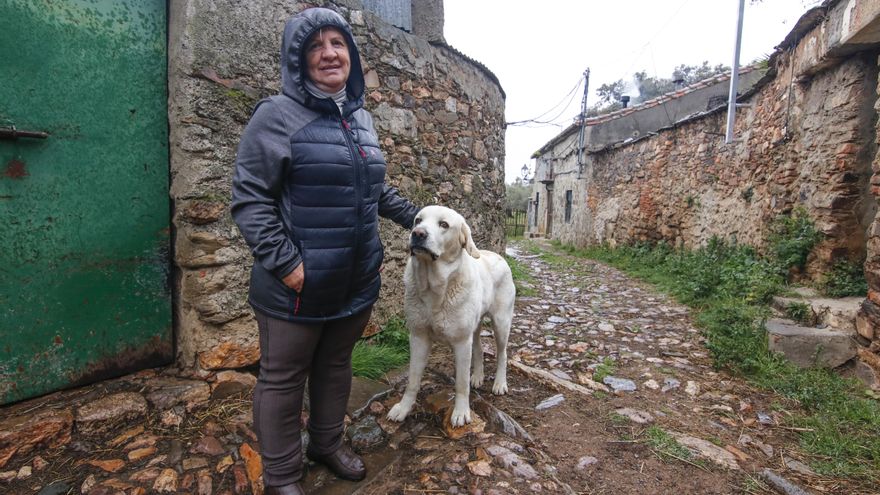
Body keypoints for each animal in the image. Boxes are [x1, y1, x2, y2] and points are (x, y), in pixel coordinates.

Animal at [384, 205, 516, 426]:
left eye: (444, 224)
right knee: (479, 348)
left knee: (502, 354)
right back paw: (478, 376)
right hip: (475, 326)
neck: (434, 289)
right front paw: (403, 408)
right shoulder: (418, 337)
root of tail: (498, 256)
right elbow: (412, 380)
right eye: (417, 220)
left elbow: (461, 384)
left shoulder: (461, 342)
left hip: (501, 323)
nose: (417, 234)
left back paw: (499, 383)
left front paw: (461, 412)